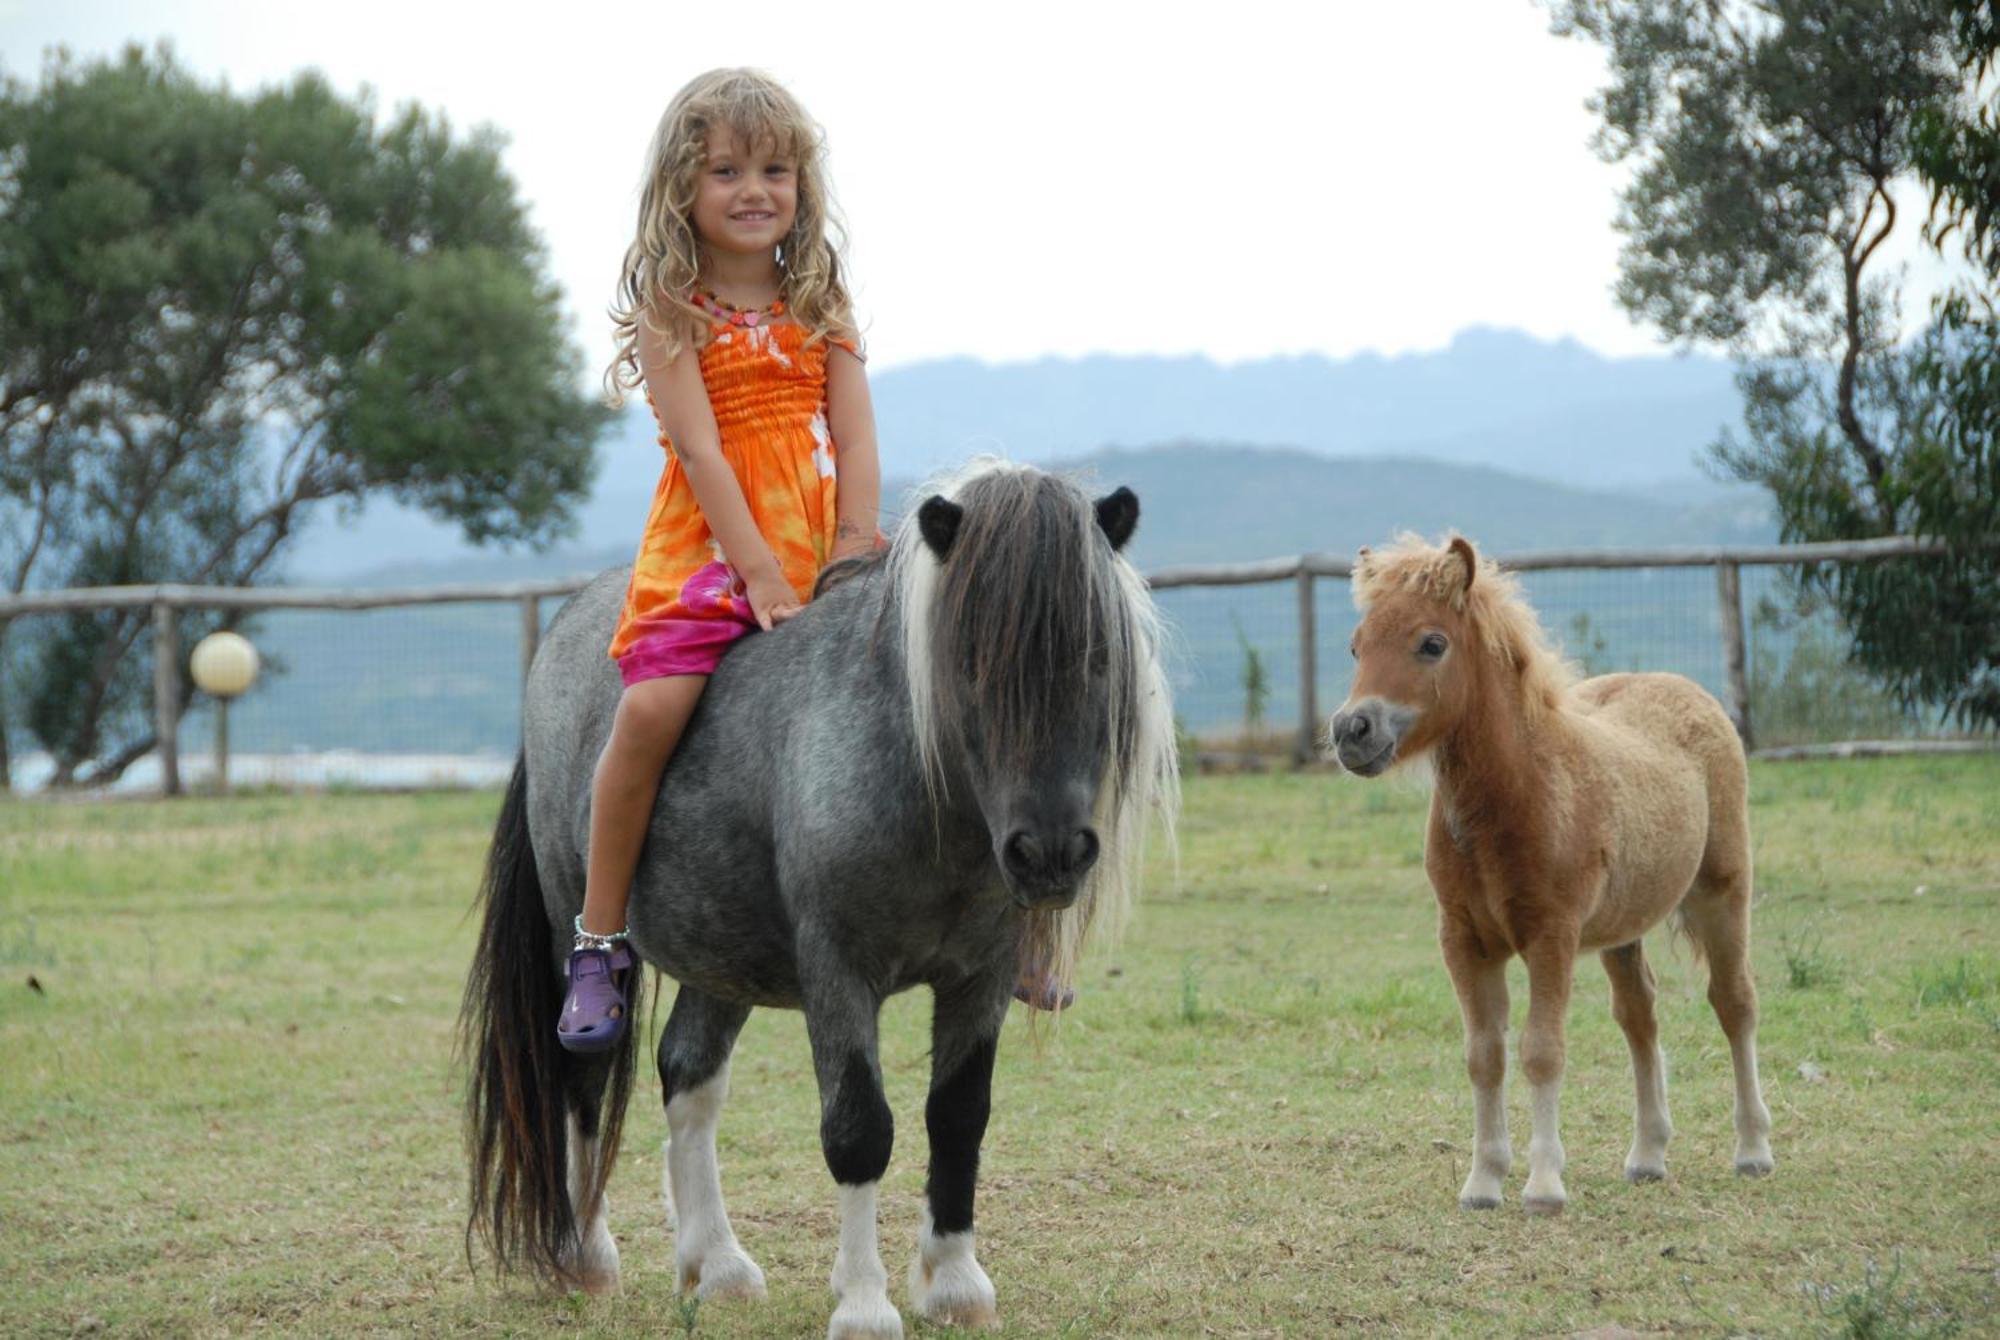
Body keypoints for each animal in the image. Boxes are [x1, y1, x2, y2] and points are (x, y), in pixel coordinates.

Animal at [460, 462, 1176, 1340]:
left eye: (1099, 656)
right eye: (969, 660)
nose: (1049, 854)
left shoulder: (980, 976)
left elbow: (958, 1115)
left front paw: (954, 1281)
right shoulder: (838, 971)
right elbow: (859, 1129)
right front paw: (865, 1302)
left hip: (720, 950)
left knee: (687, 1074)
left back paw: (717, 1265)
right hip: (582, 935)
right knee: (582, 1077)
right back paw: (587, 1255)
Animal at [1336, 536, 1776, 1216]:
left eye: (1431, 643)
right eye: (1357, 646)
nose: (1351, 731)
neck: (1520, 792)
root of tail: (1686, 689)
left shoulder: (1552, 935)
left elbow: (1542, 1052)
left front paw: (1543, 1186)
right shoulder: (1463, 940)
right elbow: (1484, 1055)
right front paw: (1483, 1181)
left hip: (1723, 892)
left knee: (1735, 1002)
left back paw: (1753, 1149)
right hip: (1624, 926)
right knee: (1639, 1014)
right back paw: (1648, 1155)